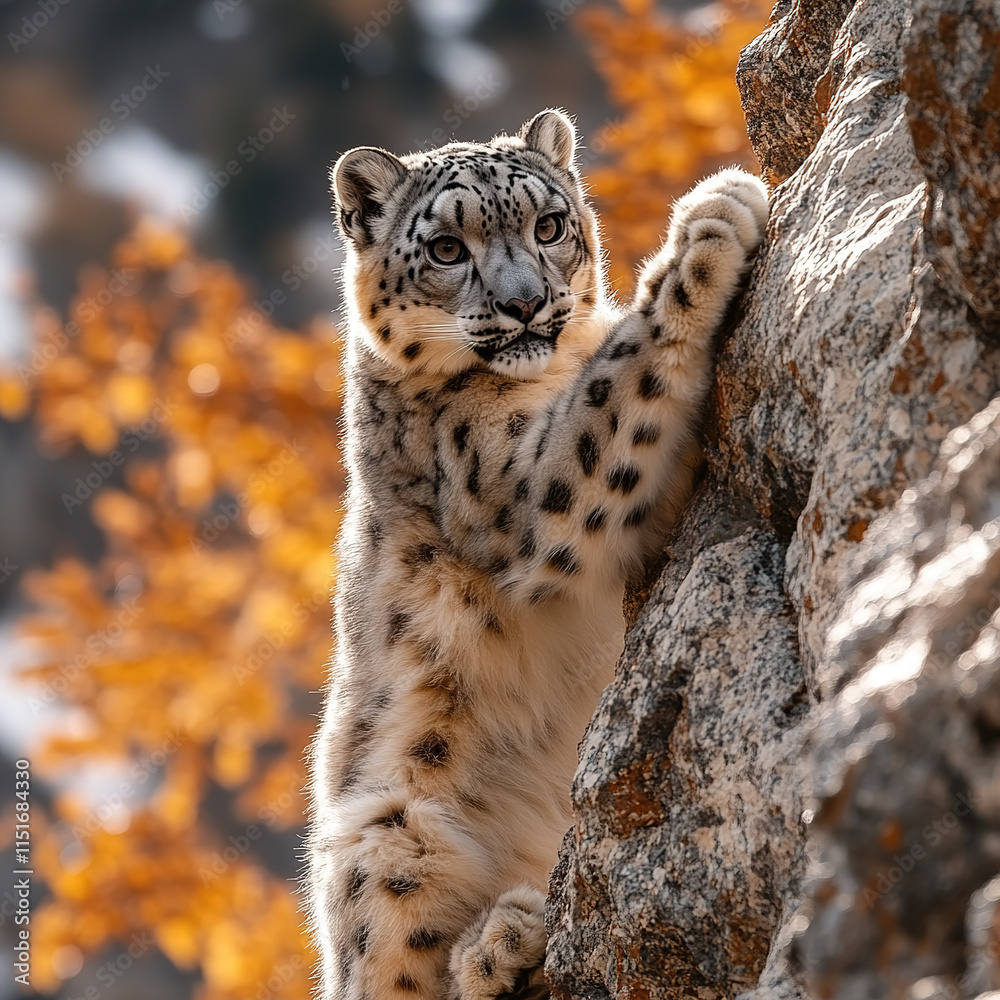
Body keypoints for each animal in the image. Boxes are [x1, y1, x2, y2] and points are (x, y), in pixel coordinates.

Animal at [305, 108, 768, 1000]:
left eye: (548, 226)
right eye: (446, 248)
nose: (523, 305)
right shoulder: (524, 488)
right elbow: (607, 393)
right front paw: (713, 219)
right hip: (387, 834)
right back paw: (500, 943)